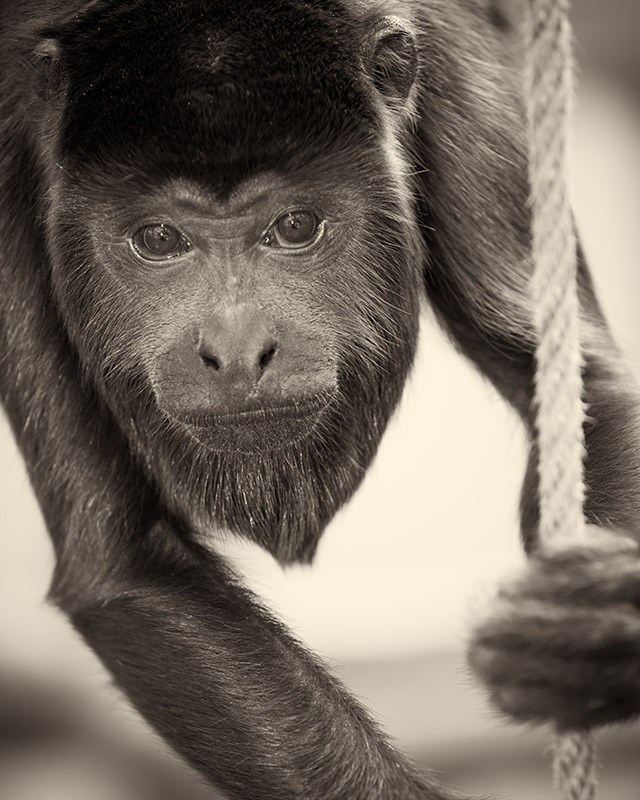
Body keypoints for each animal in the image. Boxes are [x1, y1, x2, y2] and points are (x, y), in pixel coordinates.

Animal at [1, 0, 640, 796]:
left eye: (296, 226)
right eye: (157, 239)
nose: (237, 351)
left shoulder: (444, 48)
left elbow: (584, 381)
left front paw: (604, 637)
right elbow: (122, 559)